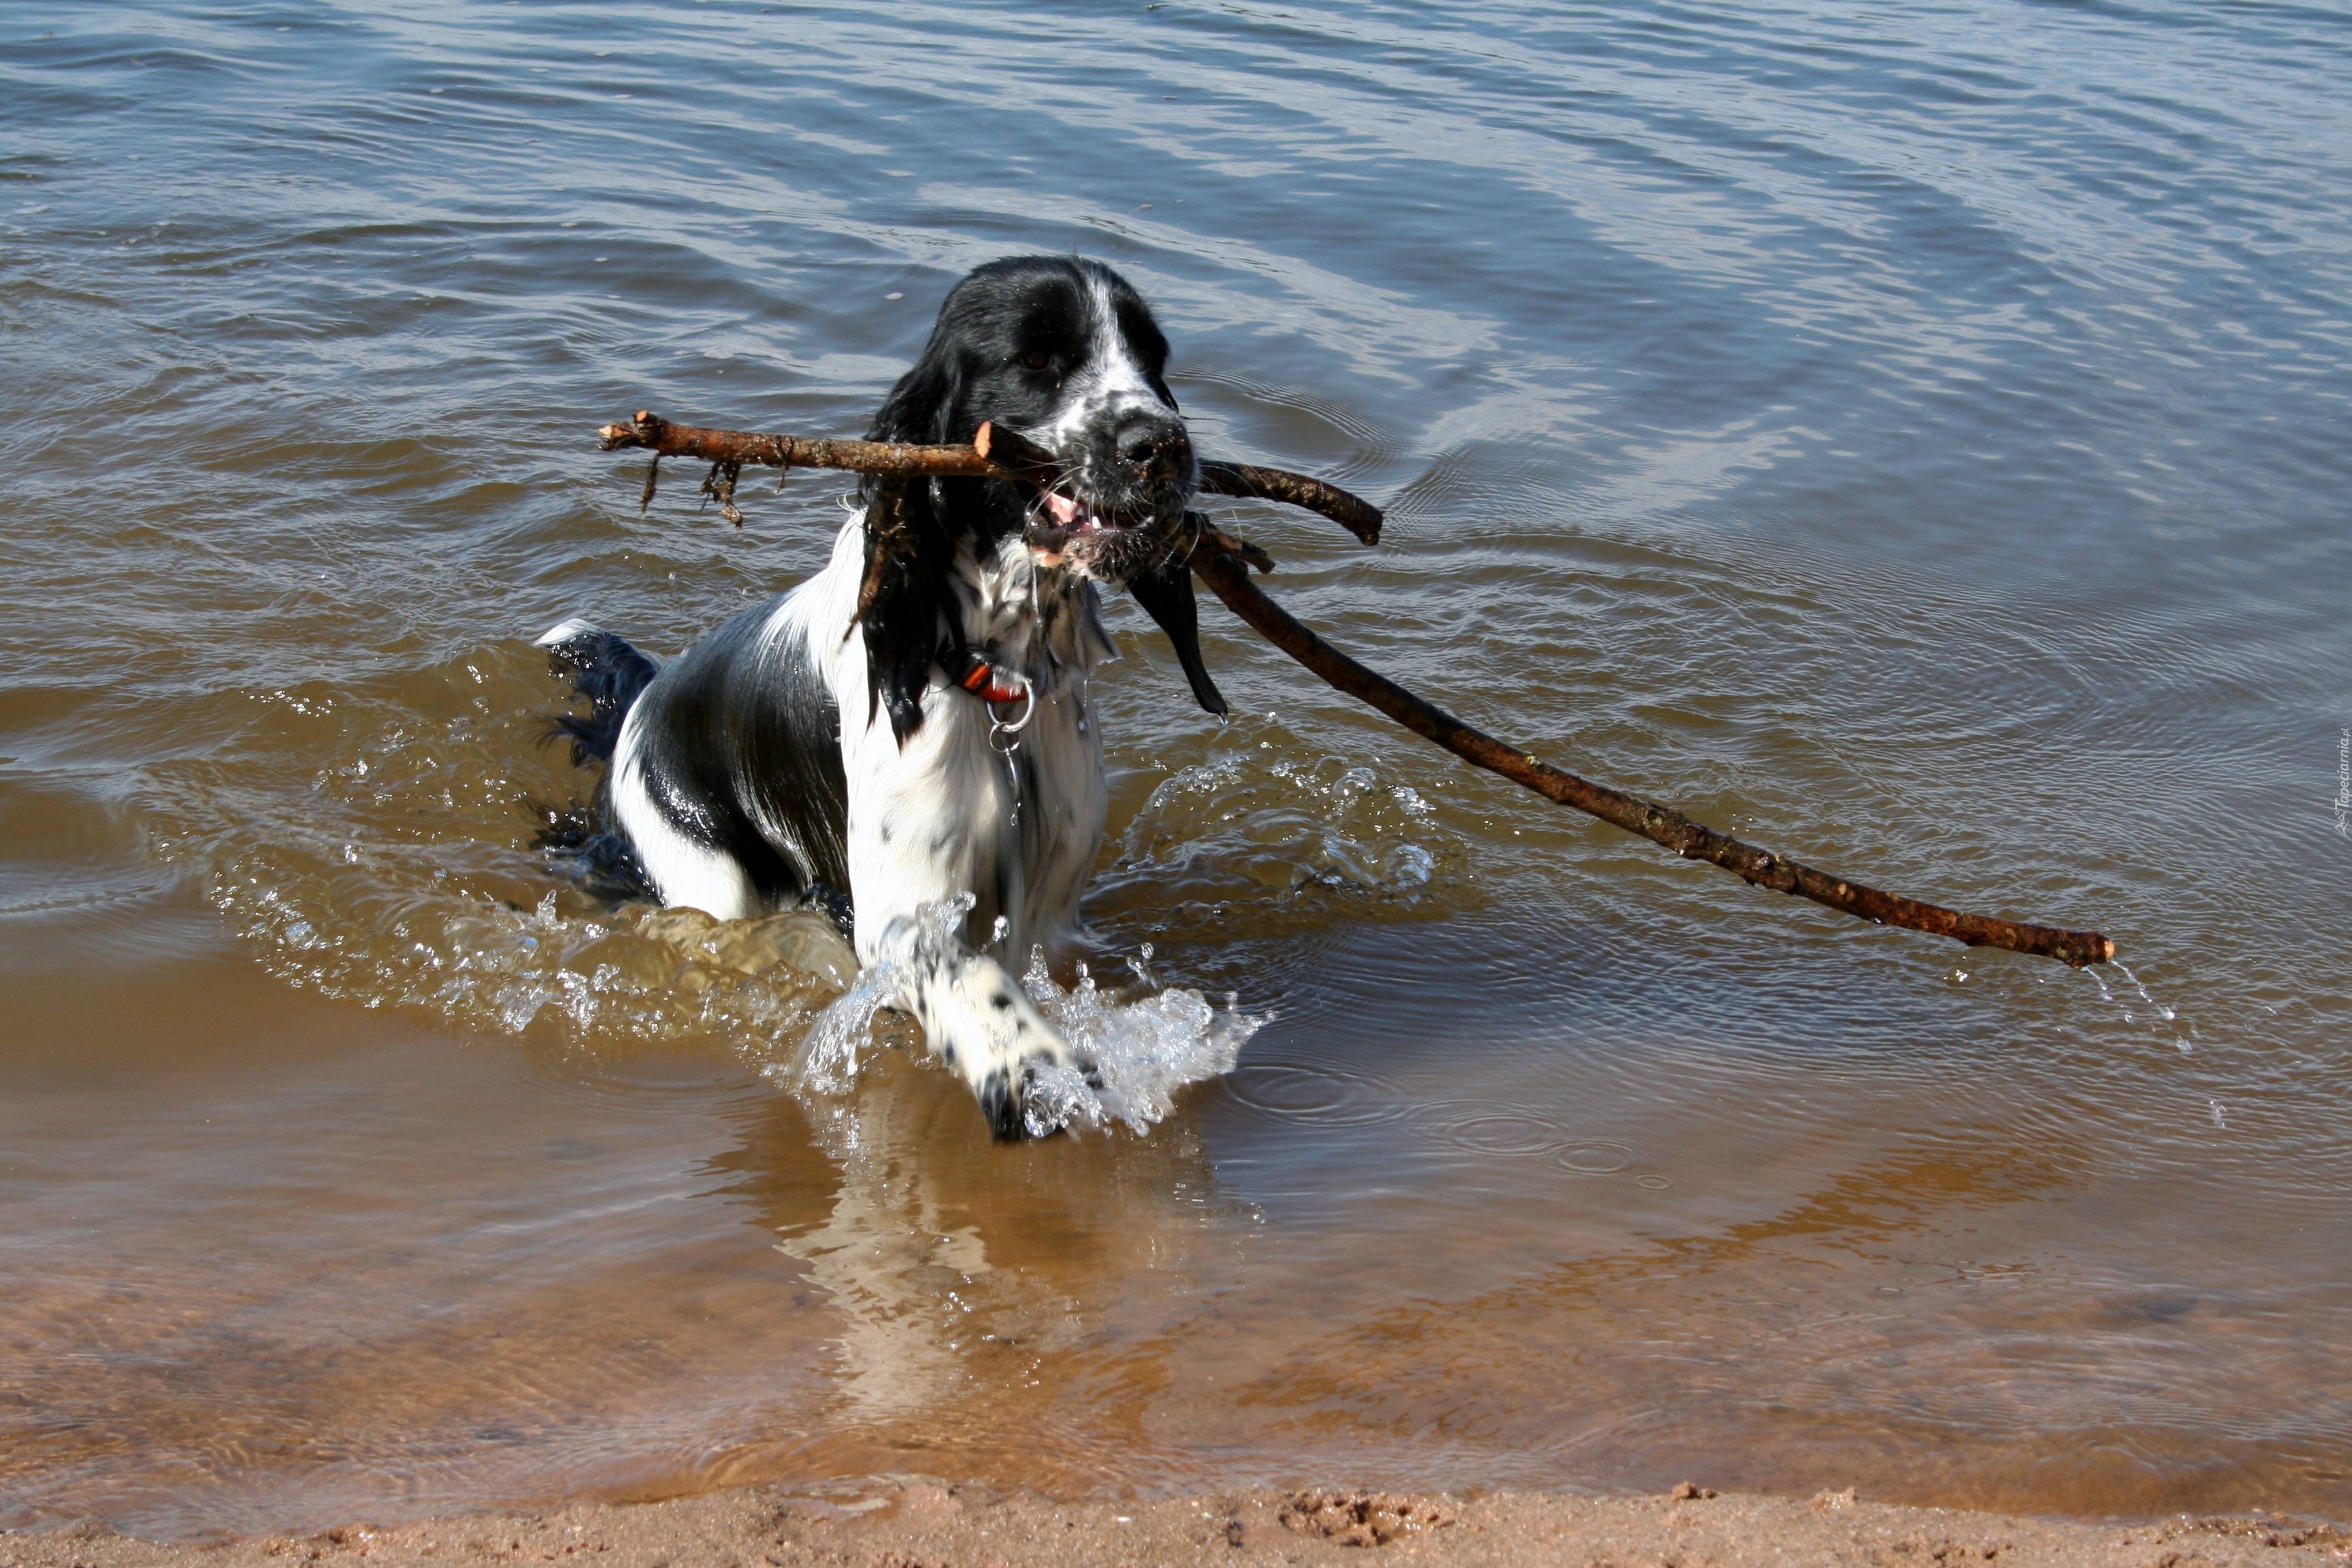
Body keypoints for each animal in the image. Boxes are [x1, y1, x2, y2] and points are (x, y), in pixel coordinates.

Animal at [538, 257, 1223, 1142]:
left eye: (1153, 360)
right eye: (1037, 358)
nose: (1163, 446)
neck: (998, 674)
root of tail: (641, 704)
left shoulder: (1054, 903)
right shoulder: (903, 910)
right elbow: (965, 977)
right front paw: (1029, 1067)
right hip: (699, 867)